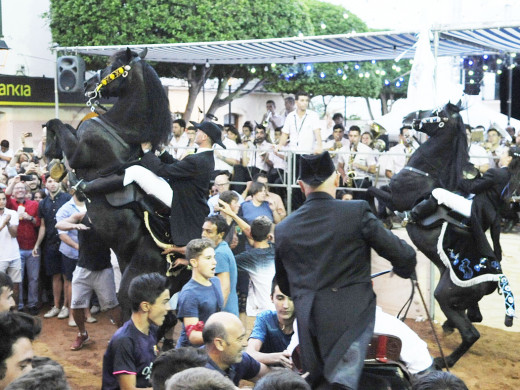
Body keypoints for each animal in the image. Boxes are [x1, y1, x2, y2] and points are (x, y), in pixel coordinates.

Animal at [45, 48, 173, 316]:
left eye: (111, 65)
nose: (87, 84)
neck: (119, 130)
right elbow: (65, 125)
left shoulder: (77, 152)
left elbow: (58, 123)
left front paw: (50, 147)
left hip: (130, 282)